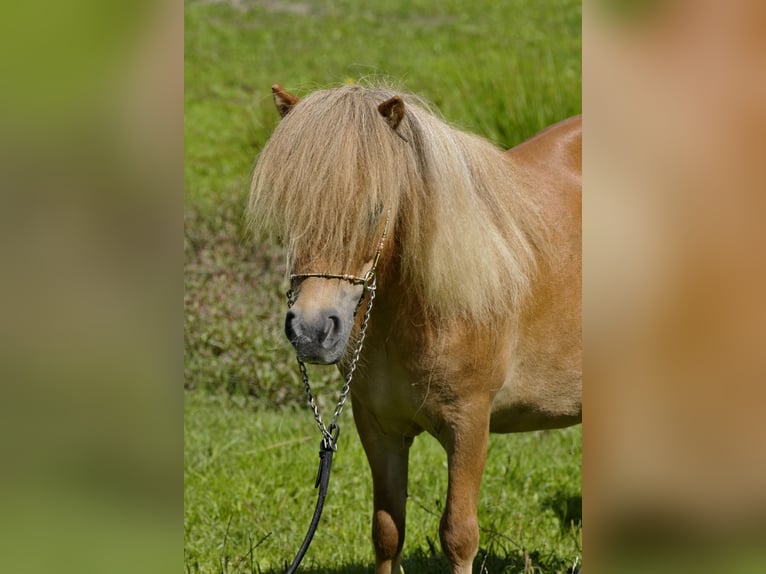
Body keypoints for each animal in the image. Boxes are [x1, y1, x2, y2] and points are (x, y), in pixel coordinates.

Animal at [250, 82, 584, 574]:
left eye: (375, 210)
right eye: (292, 210)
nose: (311, 330)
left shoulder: (469, 425)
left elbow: (458, 536)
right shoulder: (380, 428)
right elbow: (388, 532)